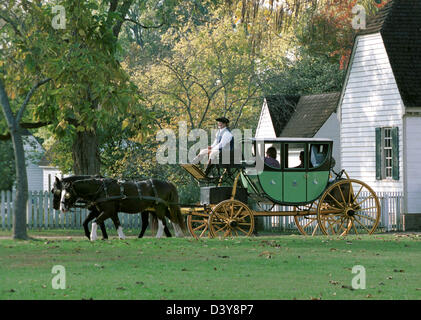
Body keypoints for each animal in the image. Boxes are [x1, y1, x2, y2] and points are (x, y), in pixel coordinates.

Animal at [57, 178, 185, 240]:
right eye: (60, 193)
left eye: (67, 194)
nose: (62, 208)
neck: (102, 190)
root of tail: (167, 183)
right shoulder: (112, 212)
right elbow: (117, 224)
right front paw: (122, 237)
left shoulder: (107, 211)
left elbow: (95, 222)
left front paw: (93, 237)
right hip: (160, 208)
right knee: (172, 219)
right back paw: (178, 234)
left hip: (159, 208)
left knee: (162, 223)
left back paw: (158, 237)